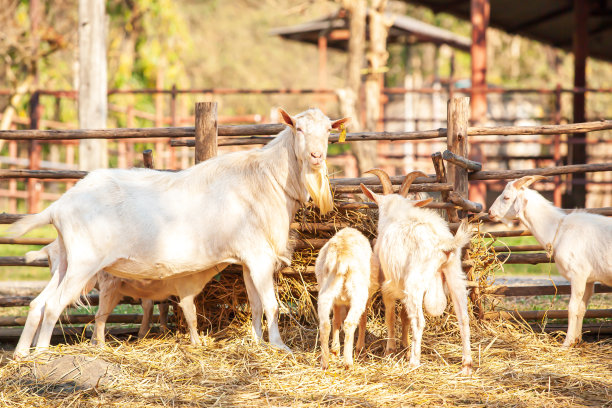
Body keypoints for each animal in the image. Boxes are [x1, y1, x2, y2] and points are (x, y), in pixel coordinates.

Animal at [9, 107, 346, 356]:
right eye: (298, 129)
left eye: (329, 131)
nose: (317, 157)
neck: (266, 179)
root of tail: (59, 206)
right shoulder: (259, 255)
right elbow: (272, 304)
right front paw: (279, 347)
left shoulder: (250, 258)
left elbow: (255, 304)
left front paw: (257, 342)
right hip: (84, 262)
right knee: (53, 305)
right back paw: (41, 354)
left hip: (67, 260)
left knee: (38, 303)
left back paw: (22, 354)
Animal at [316, 228, 378, 368]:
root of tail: (342, 258)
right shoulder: (366, 299)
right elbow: (363, 320)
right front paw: (360, 349)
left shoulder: (337, 302)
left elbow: (336, 320)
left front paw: (335, 350)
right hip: (358, 293)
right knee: (350, 323)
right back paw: (348, 362)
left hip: (326, 291)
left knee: (325, 324)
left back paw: (325, 362)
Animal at [358, 170, 474, 376]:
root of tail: (443, 244)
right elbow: (404, 316)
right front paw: (403, 347)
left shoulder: (387, 282)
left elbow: (390, 315)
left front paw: (391, 351)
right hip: (455, 276)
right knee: (464, 317)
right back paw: (466, 365)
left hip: (415, 282)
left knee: (419, 321)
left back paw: (414, 362)